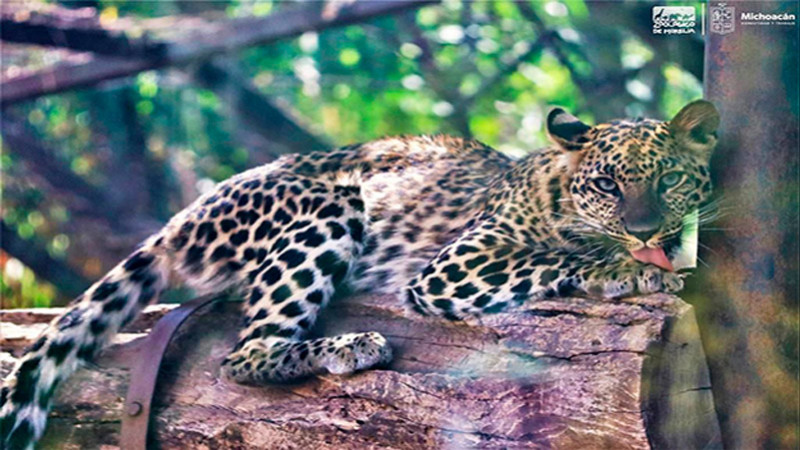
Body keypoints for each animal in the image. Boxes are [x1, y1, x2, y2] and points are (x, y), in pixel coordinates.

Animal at [0, 99, 719, 449]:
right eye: (606, 185)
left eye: (671, 180)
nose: (647, 231)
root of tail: (196, 208)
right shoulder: (452, 267)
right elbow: (554, 256)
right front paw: (626, 268)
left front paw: (659, 260)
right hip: (331, 206)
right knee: (245, 354)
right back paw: (350, 347)